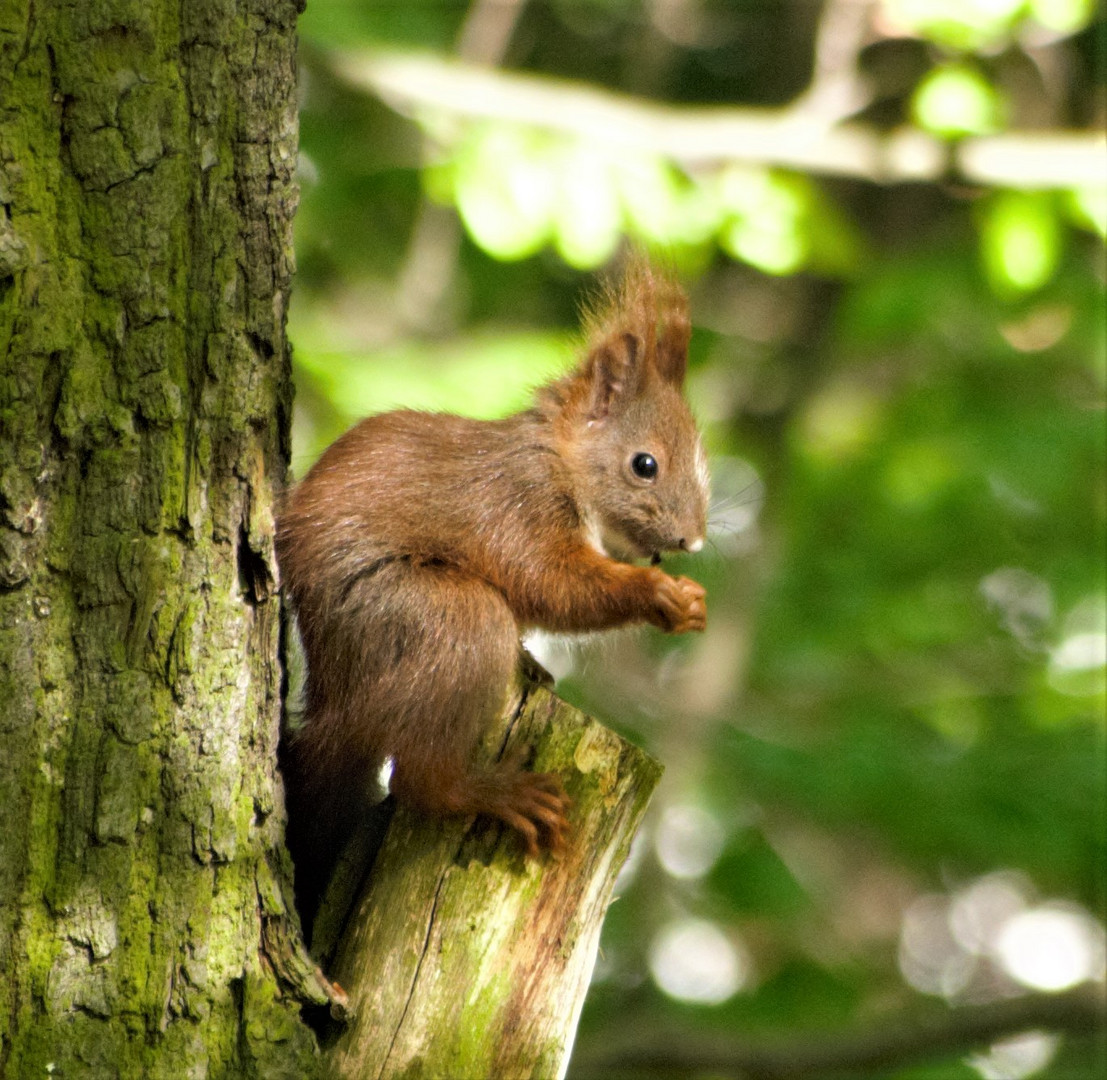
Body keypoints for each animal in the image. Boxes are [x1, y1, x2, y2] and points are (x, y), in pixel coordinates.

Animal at [276, 257, 708, 925]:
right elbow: (550, 582)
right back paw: (494, 793)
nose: (692, 540)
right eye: (645, 465)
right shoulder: (518, 507)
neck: (557, 459)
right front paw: (658, 593)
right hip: (435, 616)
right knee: (421, 779)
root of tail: (338, 689)